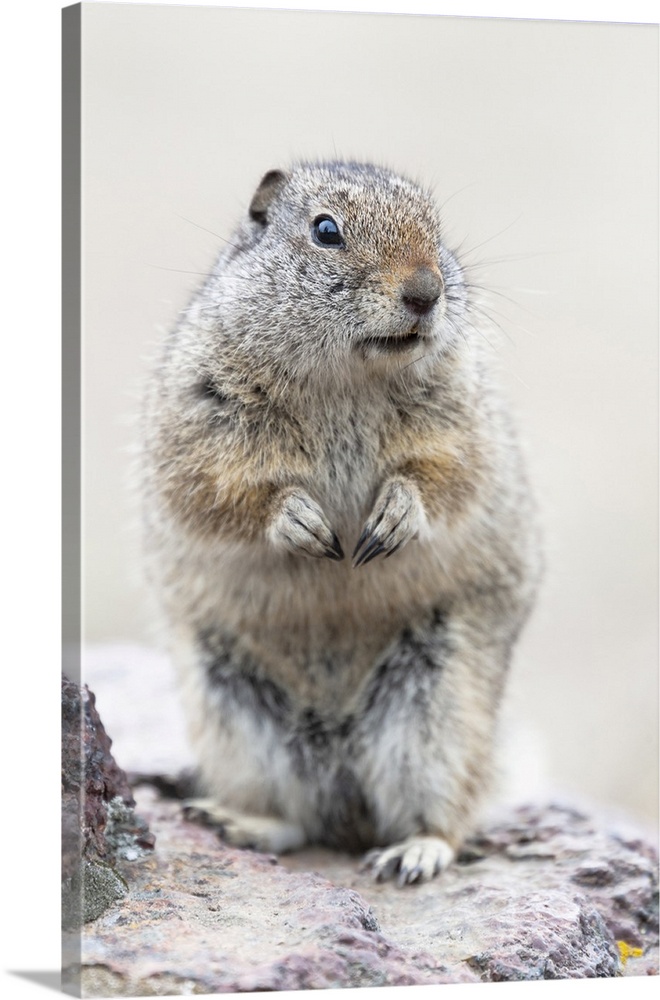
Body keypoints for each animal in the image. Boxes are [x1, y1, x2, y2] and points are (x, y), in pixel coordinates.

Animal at [141, 162, 540, 884]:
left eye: (436, 228)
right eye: (326, 230)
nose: (426, 292)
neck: (347, 380)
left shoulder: (464, 423)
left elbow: (447, 475)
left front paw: (394, 517)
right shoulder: (196, 423)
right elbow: (216, 490)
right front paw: (300, 522)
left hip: (441, 711)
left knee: (442, 814)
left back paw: (414, 853)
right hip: (232, 713)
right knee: (300, 821)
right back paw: (237, 821)